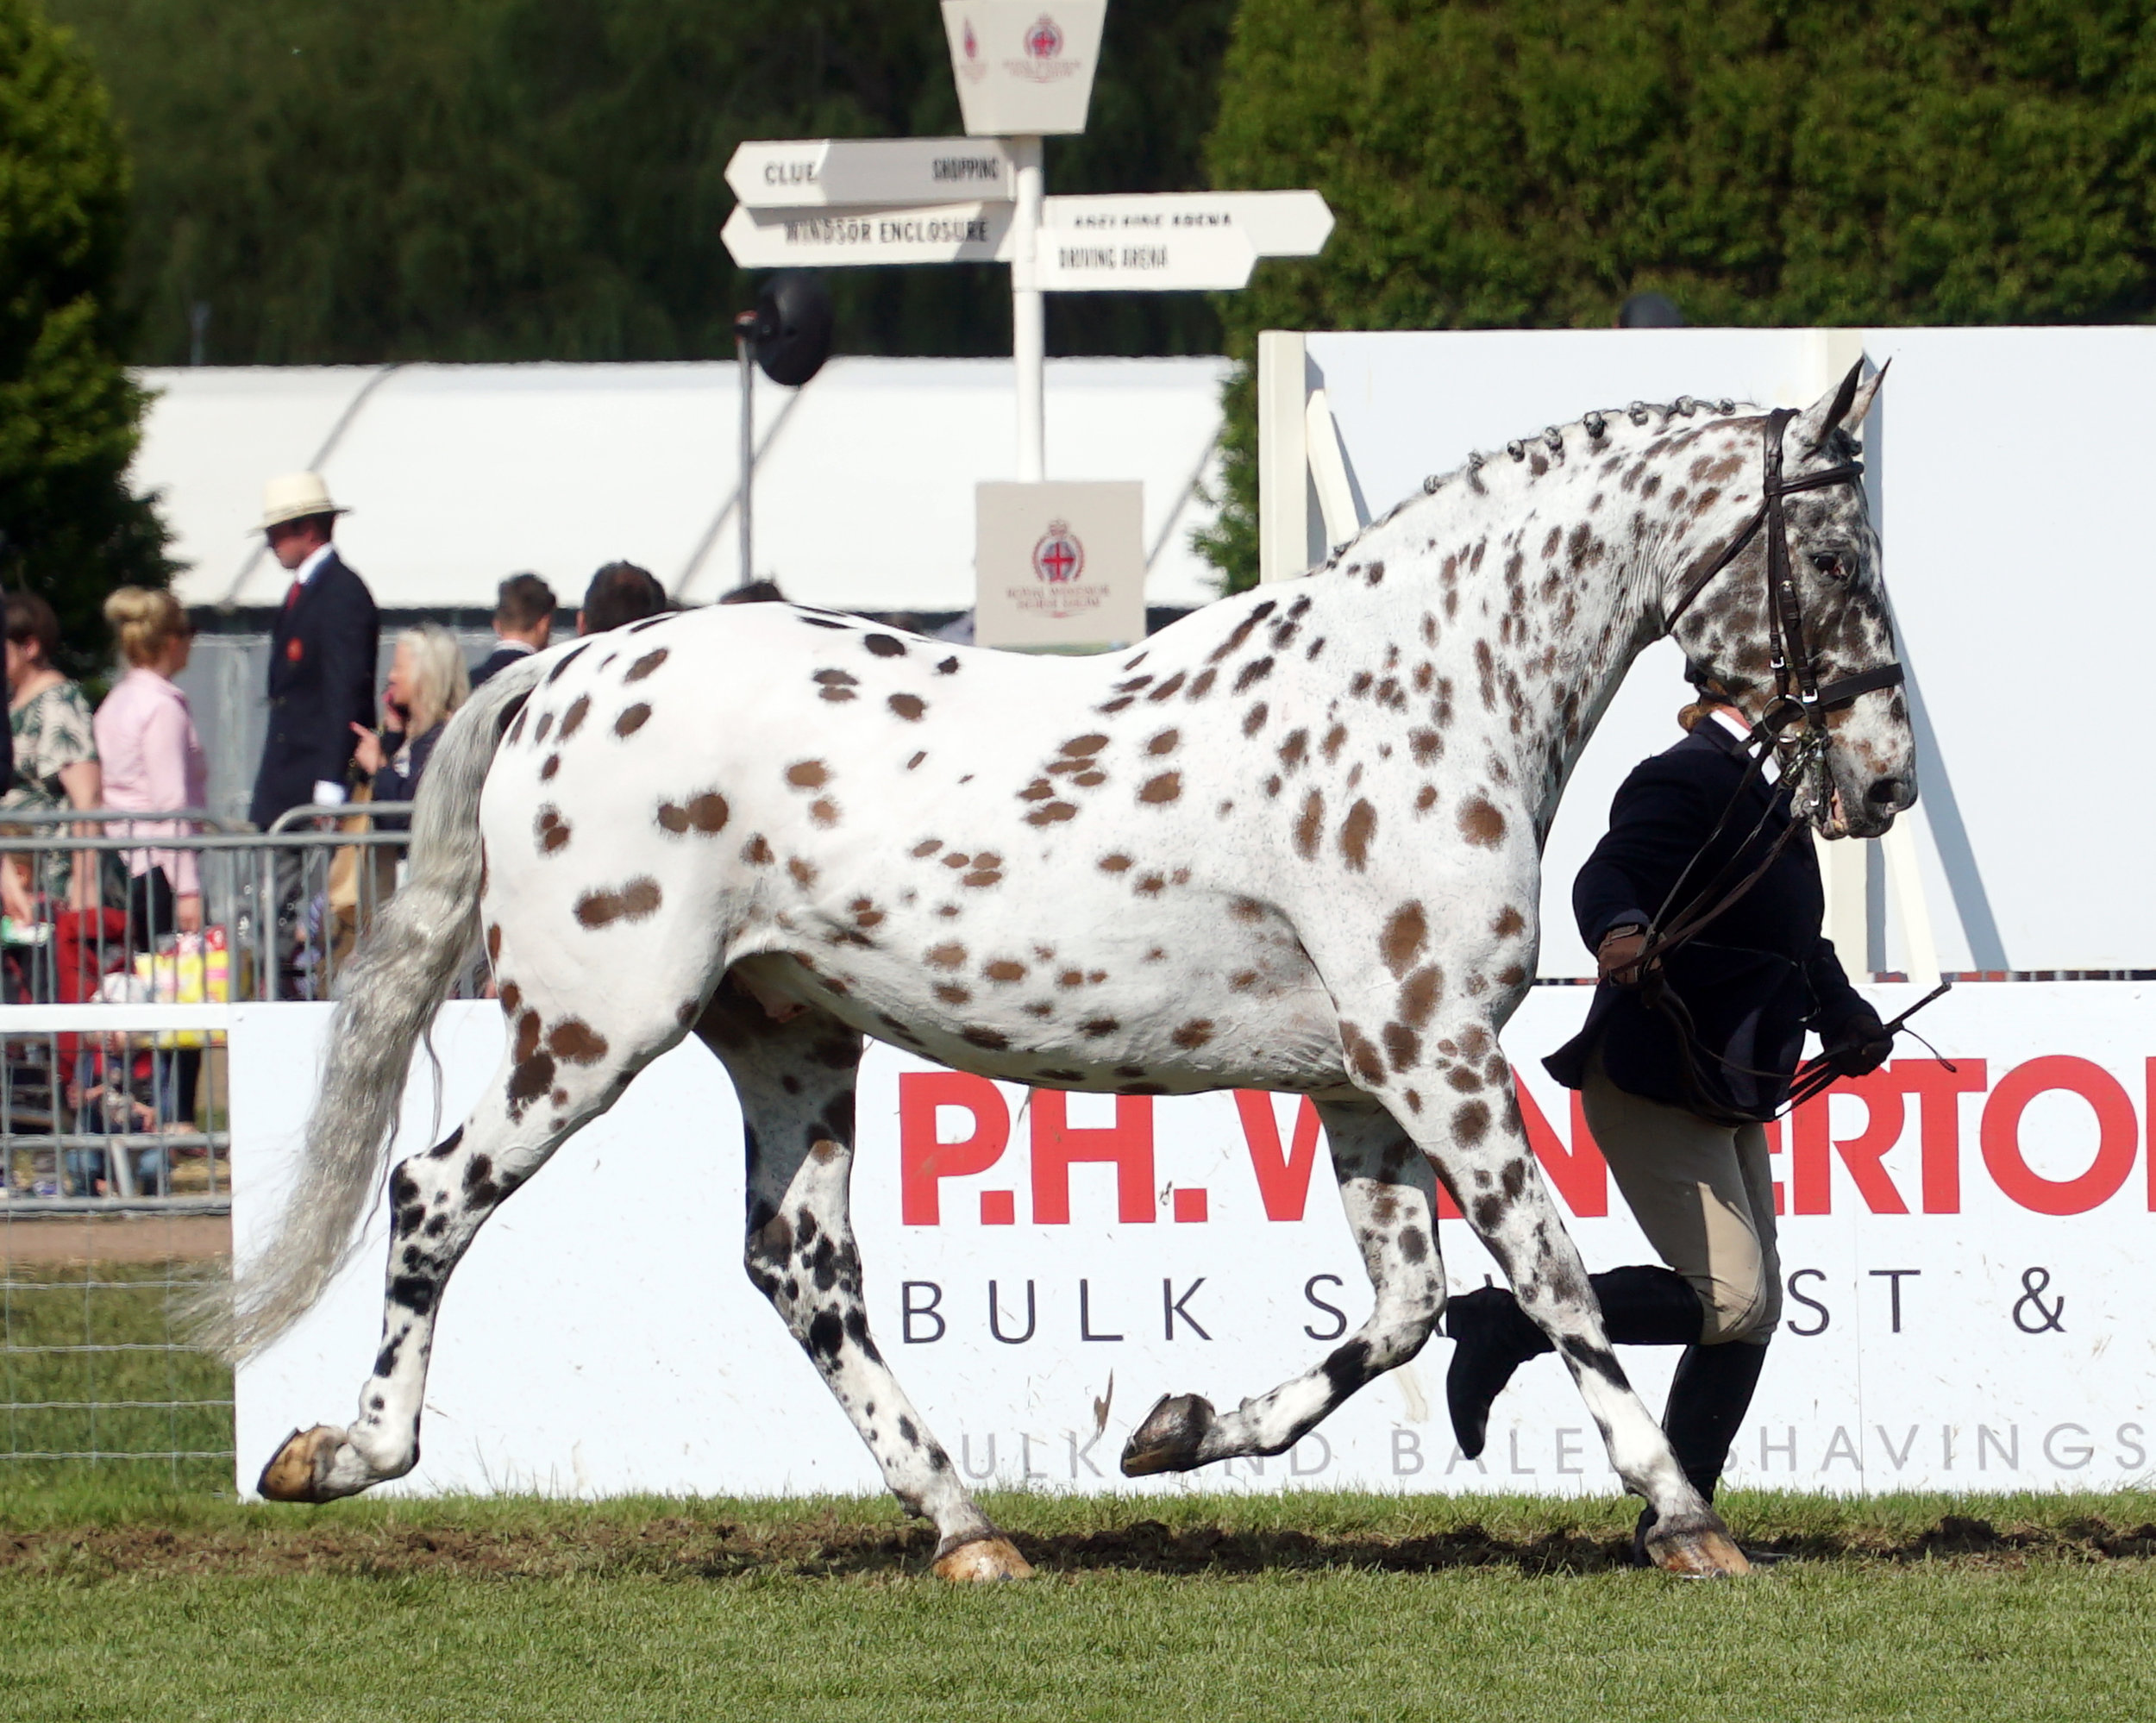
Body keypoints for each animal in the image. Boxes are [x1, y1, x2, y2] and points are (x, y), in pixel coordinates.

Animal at [222, 371, 1906, 1587]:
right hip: (589, 1027)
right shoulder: (1436, 1053)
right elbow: (1549, 1278)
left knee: (801, 1267)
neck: (1427, 693)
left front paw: (1172, 1429)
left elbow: (1410, 1311)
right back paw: (339, 1454)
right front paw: (1686, 1519)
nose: (1884, 776)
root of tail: (565, 669)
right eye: (1834, 553)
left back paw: (972, 1531)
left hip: (787, 1041)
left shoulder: (1367, 1079)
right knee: (435, 1191)